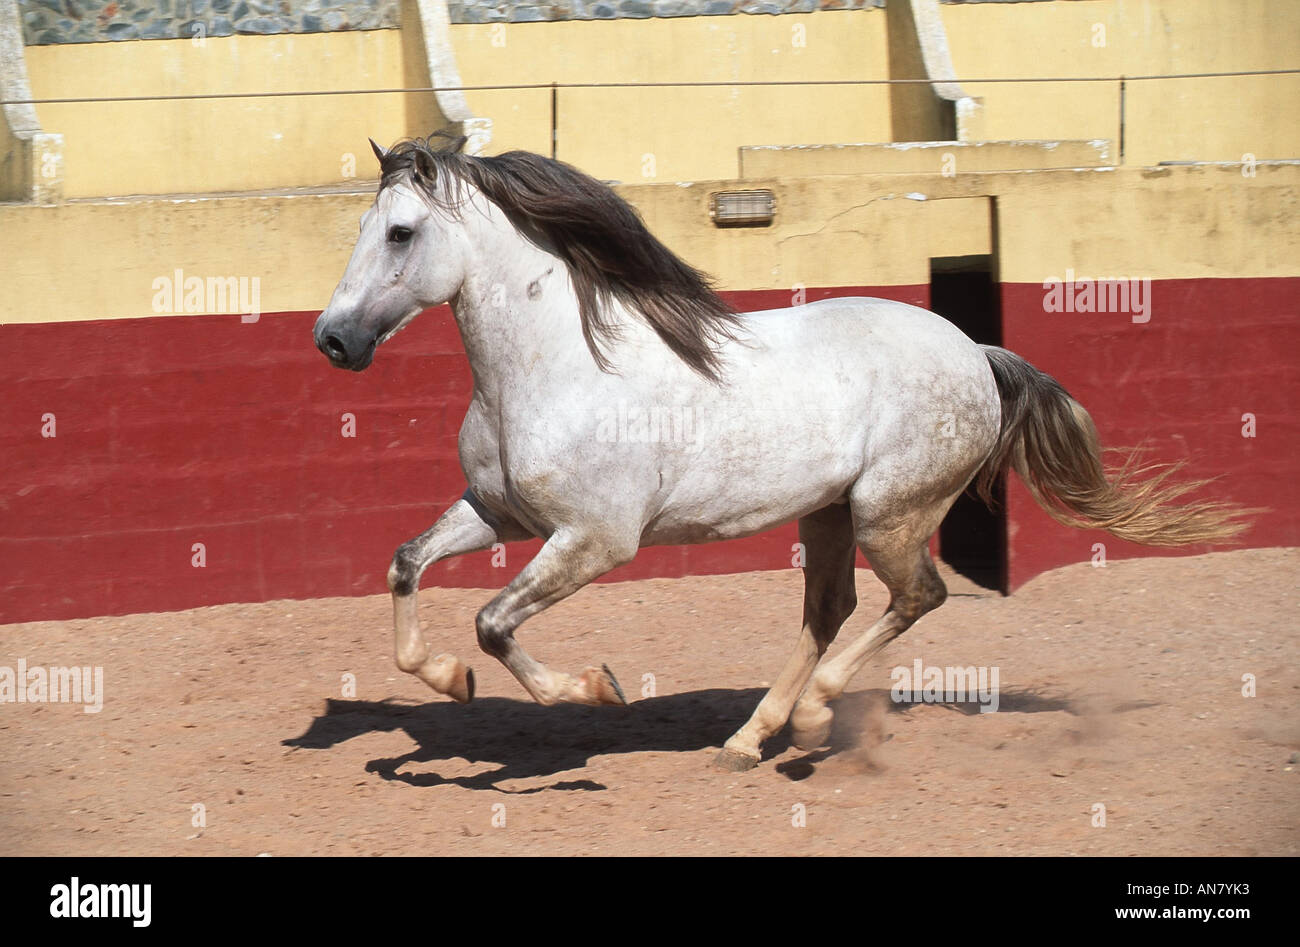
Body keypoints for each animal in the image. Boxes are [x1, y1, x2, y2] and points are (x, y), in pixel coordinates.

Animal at [309, 135, 1242, 770]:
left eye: (399, 232)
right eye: (359, 225)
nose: (332, 340)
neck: (557, 368)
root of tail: (977, 352)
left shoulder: (595, 540)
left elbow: (495, 623)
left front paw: (596, 688)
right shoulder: (498, 514)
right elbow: (405, 564)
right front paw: (446, 680)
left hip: (889, 511)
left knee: (917, 596)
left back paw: (816, 720)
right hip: (829, 512)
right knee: (829, 608)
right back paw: (750, 736)